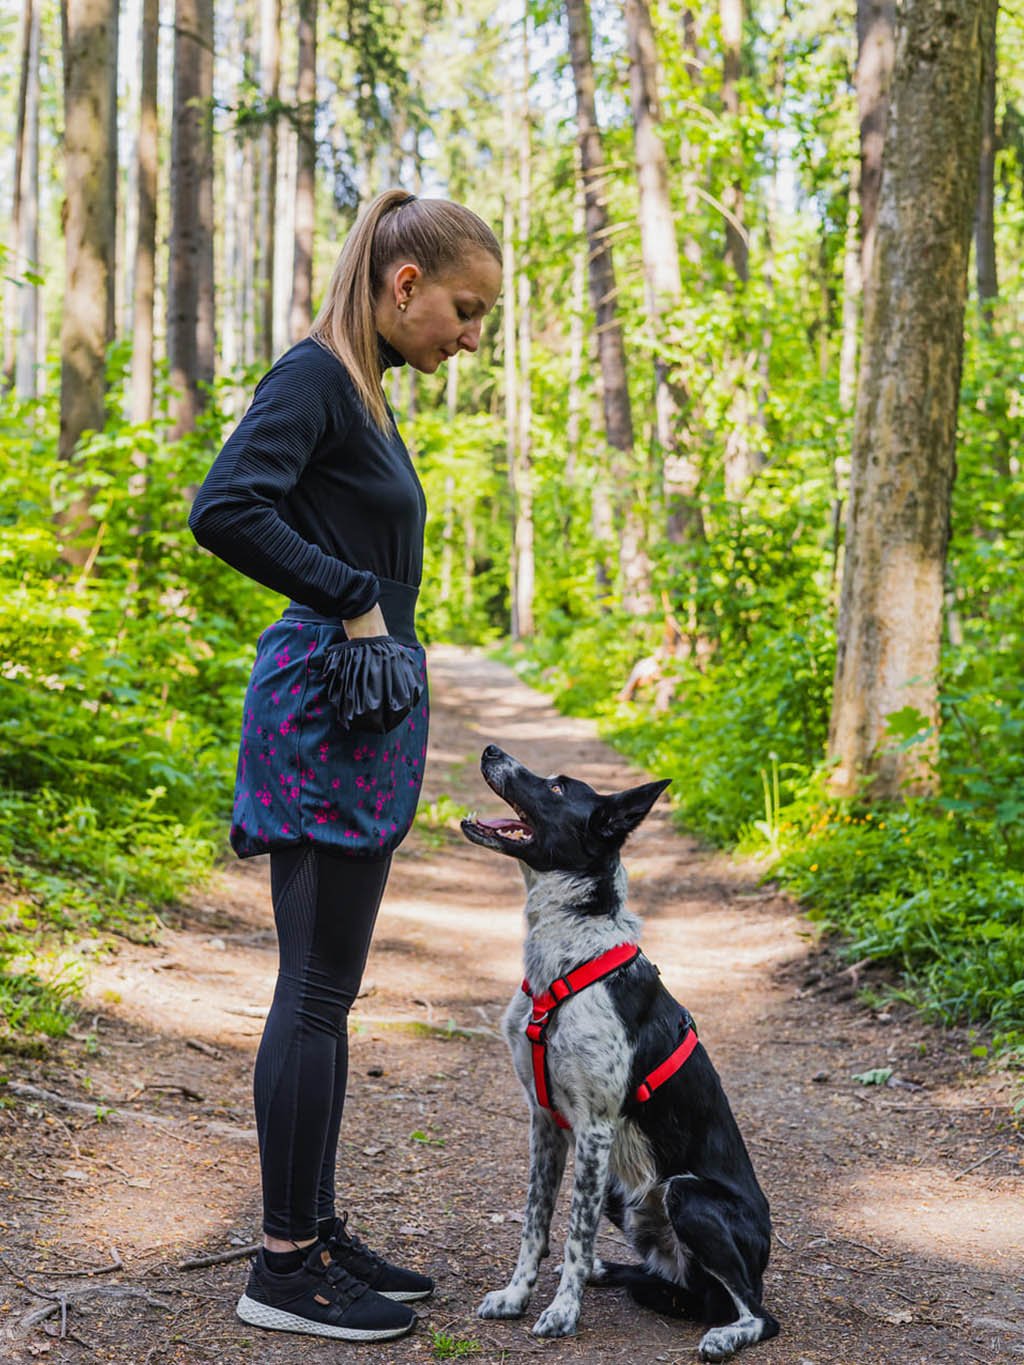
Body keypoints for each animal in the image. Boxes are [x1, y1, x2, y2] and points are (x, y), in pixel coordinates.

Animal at [461, 753, 780, 1359]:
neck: (568, 958)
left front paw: (563, 1312)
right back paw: (608, 1272)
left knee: (758, 1312)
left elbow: (572, 1235)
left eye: (557, 788)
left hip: (684, 1194)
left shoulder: (595, 1128)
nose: (491, 751)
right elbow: (536, 1224)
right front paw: (516, 1296)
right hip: (623, 1191)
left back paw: (727, 1333)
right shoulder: (546, 1122)